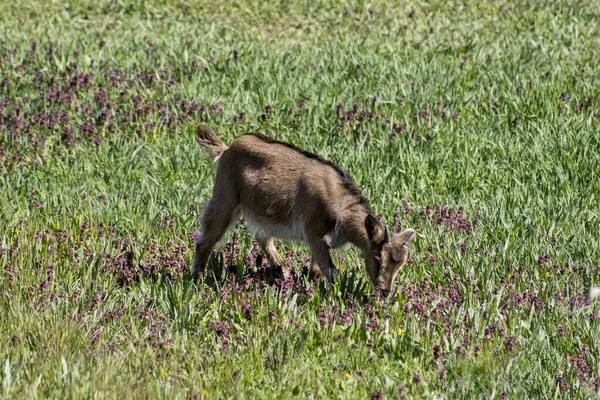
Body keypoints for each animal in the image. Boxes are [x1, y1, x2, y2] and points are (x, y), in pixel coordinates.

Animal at [190, 125, 424, 296]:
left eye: (401, 264)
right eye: (377, 258)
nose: (385, 292)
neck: (341, 205)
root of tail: (226, 149)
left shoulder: (318, 241)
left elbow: (315, 271)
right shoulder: (315, 233)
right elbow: (330, 271)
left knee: (262, 237)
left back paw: (283, 272)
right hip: (225, 198)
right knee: (205, 240)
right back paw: (196, 280)